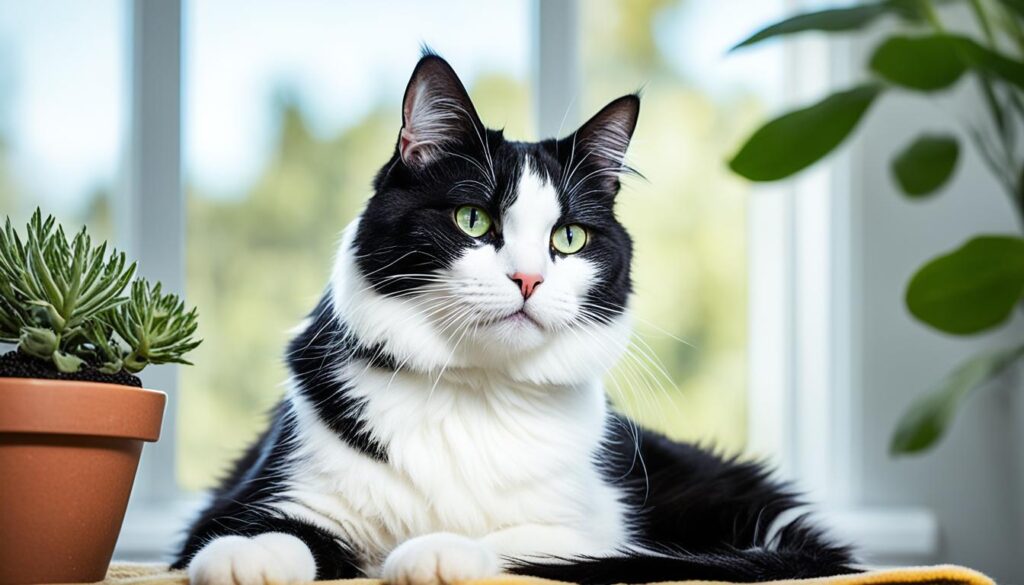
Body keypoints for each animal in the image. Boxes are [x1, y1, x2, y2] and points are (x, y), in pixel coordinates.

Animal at [174, 53, 856, 585]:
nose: (528, 279)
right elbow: (265, 531)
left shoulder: (588, 527)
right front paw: (246, 556)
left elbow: (517, 538)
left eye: (569, 237)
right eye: (473, 219)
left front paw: (432, 551)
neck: (473, 393)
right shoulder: (259, 495)